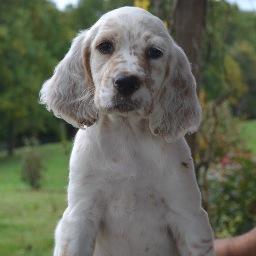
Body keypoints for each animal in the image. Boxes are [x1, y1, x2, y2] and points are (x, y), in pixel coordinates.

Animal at [40, 6, 215, 256]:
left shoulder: (188, 216)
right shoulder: (80, 214)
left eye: (155, 52)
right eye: (104, 46)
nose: (126, 82)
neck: (127, 134)